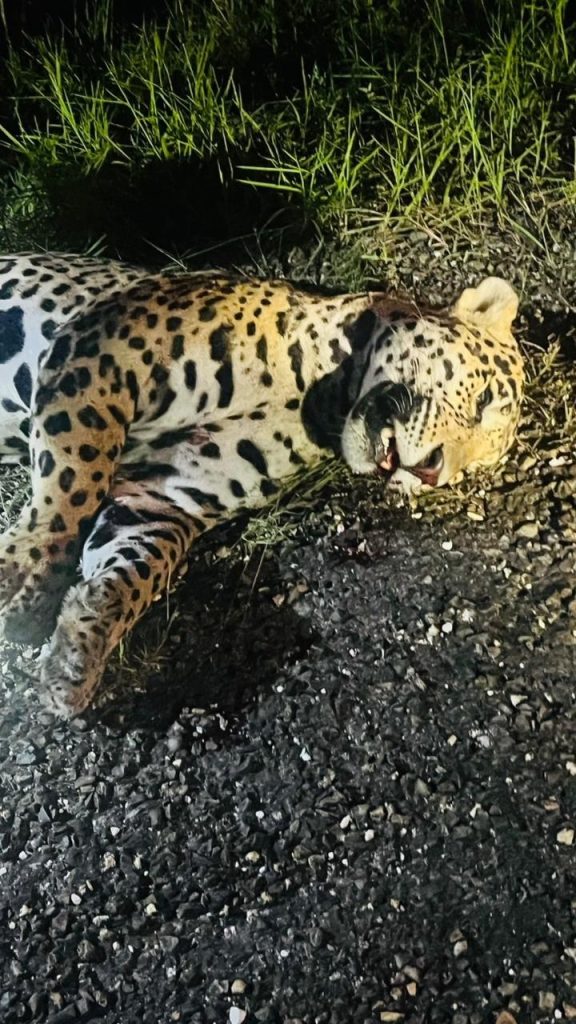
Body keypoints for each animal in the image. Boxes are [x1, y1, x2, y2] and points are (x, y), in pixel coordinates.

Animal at [0, 252, 524, 717]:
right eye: (483, 399)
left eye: (469, 471)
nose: (431, 472)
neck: (320, 398)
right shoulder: (103, 349)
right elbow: (77, 473)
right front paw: (22, 577)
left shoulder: (167, 492)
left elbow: (139, 570)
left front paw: (79, 649)